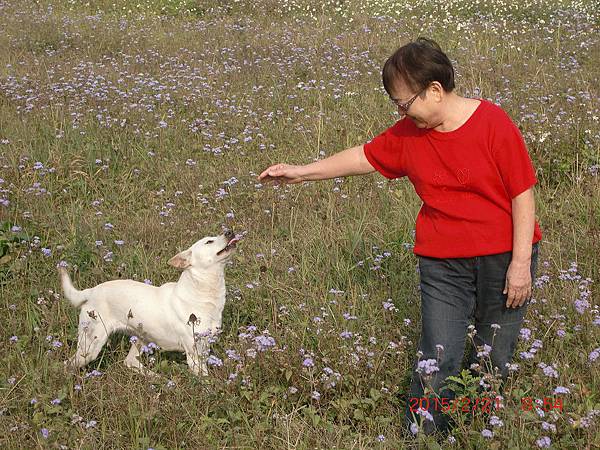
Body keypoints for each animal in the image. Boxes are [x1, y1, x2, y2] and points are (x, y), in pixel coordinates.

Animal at [58, 232, 239, 376]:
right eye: (209, 241)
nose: (230, 231)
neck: (205, 292)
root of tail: (91, 291)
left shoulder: (205, 347)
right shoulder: (194, 353)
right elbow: (204, 379)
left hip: (141, 338)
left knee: (130, 362)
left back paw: (156, 378)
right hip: (90, 347)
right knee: (68, 364)